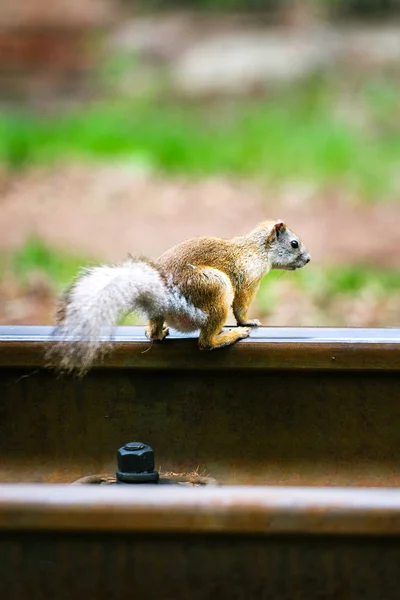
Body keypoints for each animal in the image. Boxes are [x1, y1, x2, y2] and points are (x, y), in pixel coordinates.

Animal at [50, 219, 310, 370]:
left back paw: (156, 332)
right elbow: (241, 307)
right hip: (216, 289)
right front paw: (248, 322)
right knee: (205, 343)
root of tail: (164, 298)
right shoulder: (248, 280)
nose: (308, 259)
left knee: (156, 332)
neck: (256, 250)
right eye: (294, 243)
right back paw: (230, 335)